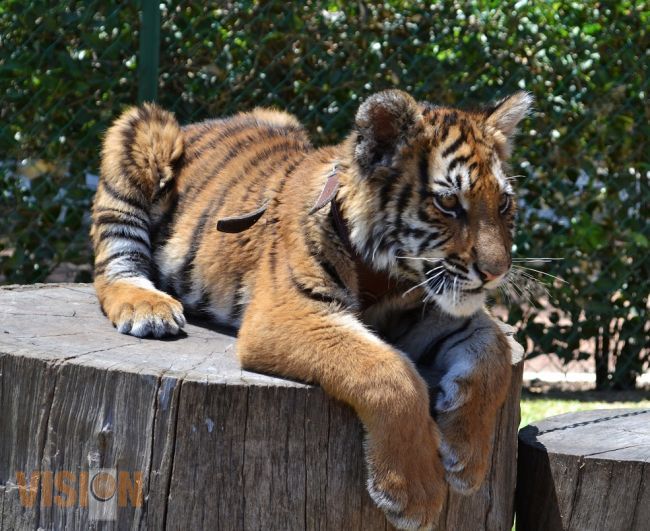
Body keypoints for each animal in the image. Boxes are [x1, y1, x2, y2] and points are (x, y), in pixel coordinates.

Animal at [90, 89, 531, 530]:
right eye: (448, 202)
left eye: (504, 204)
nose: (497, 272)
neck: (387, 272)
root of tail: (200, 123)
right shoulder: (289, 313)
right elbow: (390, 372)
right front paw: (414, 494)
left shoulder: (424, 310)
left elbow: (494, 352)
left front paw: (467, 460)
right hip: (141, 133)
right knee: (114, 264)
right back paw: (149, 308)